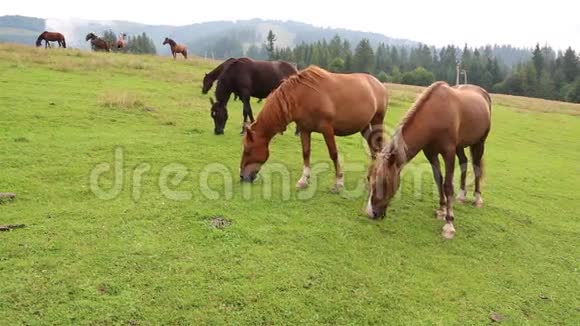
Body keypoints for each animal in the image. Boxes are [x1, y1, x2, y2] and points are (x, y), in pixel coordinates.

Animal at [240, 65, 390, 191]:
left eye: (247, 150)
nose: (242, 176)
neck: (302, 96)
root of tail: (379, 84)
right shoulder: (305, 129)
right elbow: (306, 152)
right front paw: (303, 180)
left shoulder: (327, 129)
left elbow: (333, 153)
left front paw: (338, 182)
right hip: (364, 127)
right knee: (374, 150)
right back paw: (369, 178)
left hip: (377, 121)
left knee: (378, 149)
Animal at [364, 81, 492, 239]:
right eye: (369, 178)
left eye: (383, 182)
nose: (371, 213)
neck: (435, 115)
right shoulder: (430, 153)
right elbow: (438, 179)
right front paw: (442, 210)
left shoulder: (448, 153)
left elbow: (447, 185)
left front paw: (449, 224)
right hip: (460, 146)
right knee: (464, 162)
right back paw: (462, 196)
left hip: (479, 142)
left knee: (476, 166)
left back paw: (478, 199)